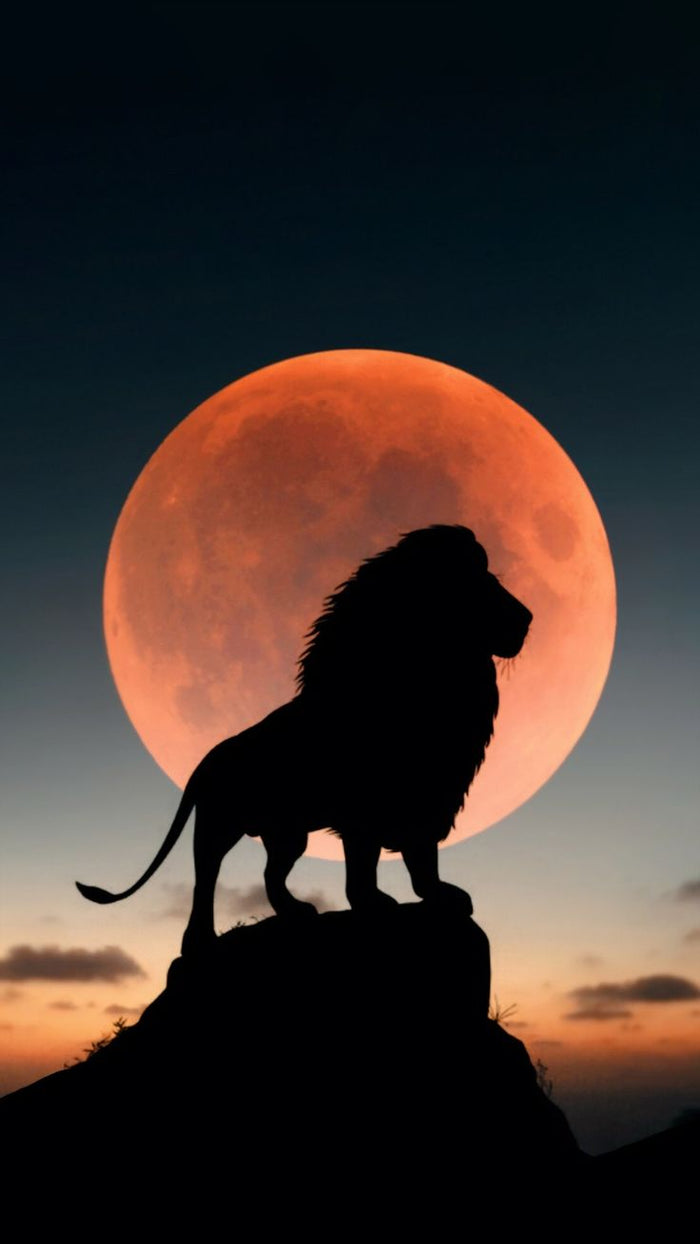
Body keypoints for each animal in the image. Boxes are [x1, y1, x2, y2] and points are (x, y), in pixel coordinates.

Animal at [77, 525, 532, 954]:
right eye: (477, 582)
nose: (527, 618)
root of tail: (205, 761)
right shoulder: (366, 812)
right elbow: (365, 866)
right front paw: (375, 904)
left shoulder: (429, 800)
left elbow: (422, 861)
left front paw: (439, 896)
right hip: (218, 825)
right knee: (205, 878)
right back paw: (198, 941)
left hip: (287, 833)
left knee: (270, 875)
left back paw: (296, 912)